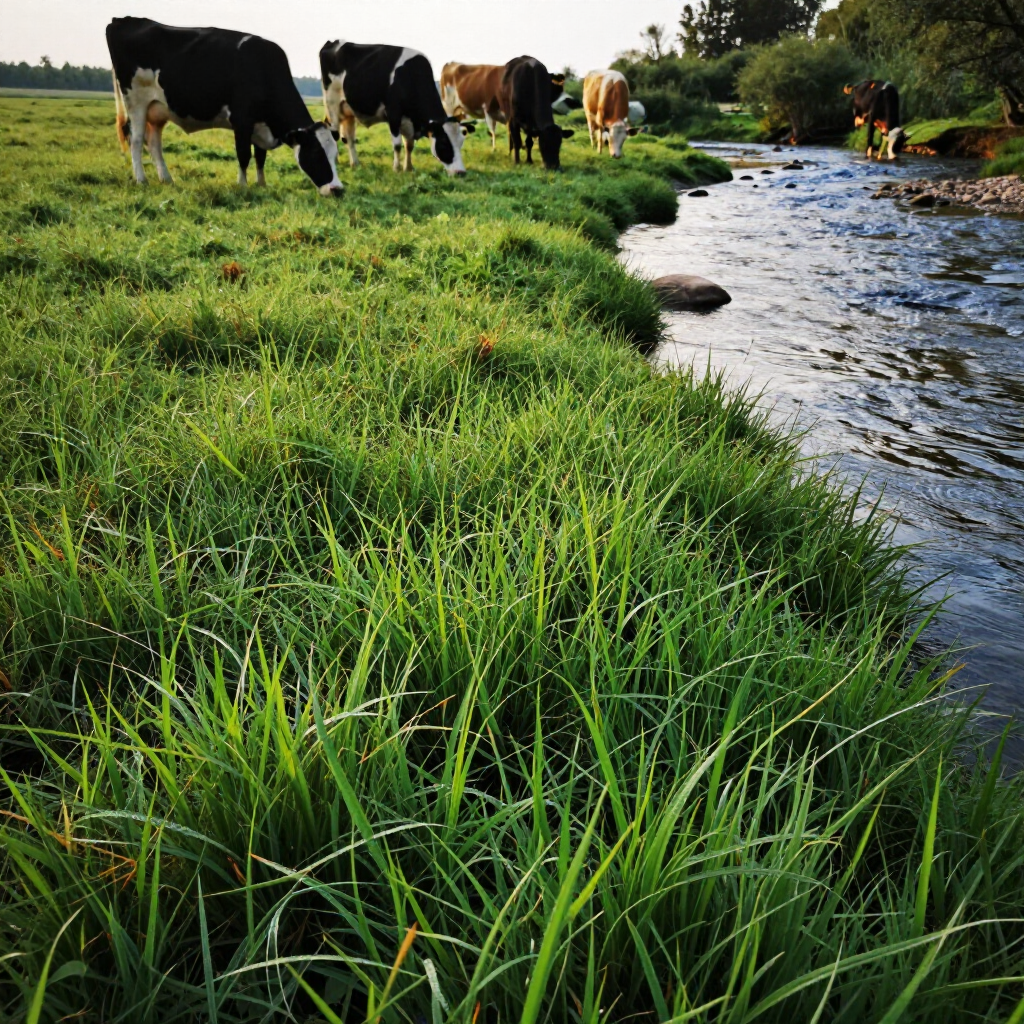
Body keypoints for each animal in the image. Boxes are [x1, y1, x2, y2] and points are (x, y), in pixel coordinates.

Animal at [105, 17, 343, 196]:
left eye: (335, 156)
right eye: (316, 154)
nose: (338, 190)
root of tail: (122, 20)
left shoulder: (259, 124)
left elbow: (260, 158)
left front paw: (262, 184)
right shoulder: (242, 120)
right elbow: (243, 155)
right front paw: (243, 186)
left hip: (157, 109)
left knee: (154, 142)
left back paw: (166, 179)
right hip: (135, 101)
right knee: (136, 139)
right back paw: (141, 179)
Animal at [320, 41, 472, 176]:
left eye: (461, 143)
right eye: (444, 143)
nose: (461, 173)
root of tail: (332, 42)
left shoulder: (408, 121)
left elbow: (409, 145)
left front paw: (408, 168)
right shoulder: (393, 114)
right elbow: (398, 145)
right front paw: (396, 169)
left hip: (348, 111)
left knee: (349, 138)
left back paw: (355, 164)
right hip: (332, 104)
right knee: (333, 133)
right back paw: (335, 161)